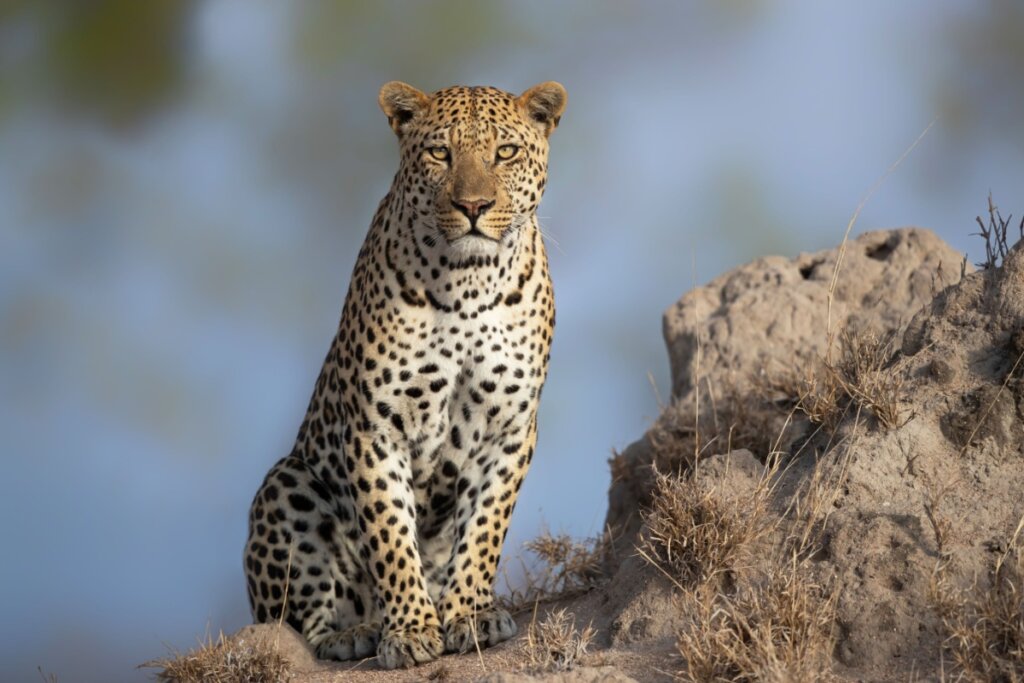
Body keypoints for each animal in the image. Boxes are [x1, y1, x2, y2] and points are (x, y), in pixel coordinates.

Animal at [245, 78, 569, 667]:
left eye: (505, 152)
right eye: (439, 153)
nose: (473, 206)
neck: (470, 284)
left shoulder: (510, 427)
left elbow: (484, 527)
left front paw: (469, 614)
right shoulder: (375, 428)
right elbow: (390, 533)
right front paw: (412, 630)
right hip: (288, 482)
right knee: (298, 624)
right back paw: (357, 631)